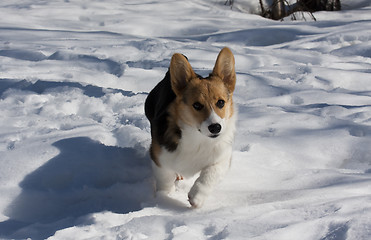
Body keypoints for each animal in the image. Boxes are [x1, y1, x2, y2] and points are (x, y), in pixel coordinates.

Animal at [144, 47, 237, 208]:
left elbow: (210, 174)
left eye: (220, 102)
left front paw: (197, 197)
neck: (197, 138)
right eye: (197, 105)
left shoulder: (223, 157)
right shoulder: (159, 157)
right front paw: (164, 198)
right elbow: (165, 179)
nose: (215, 128)